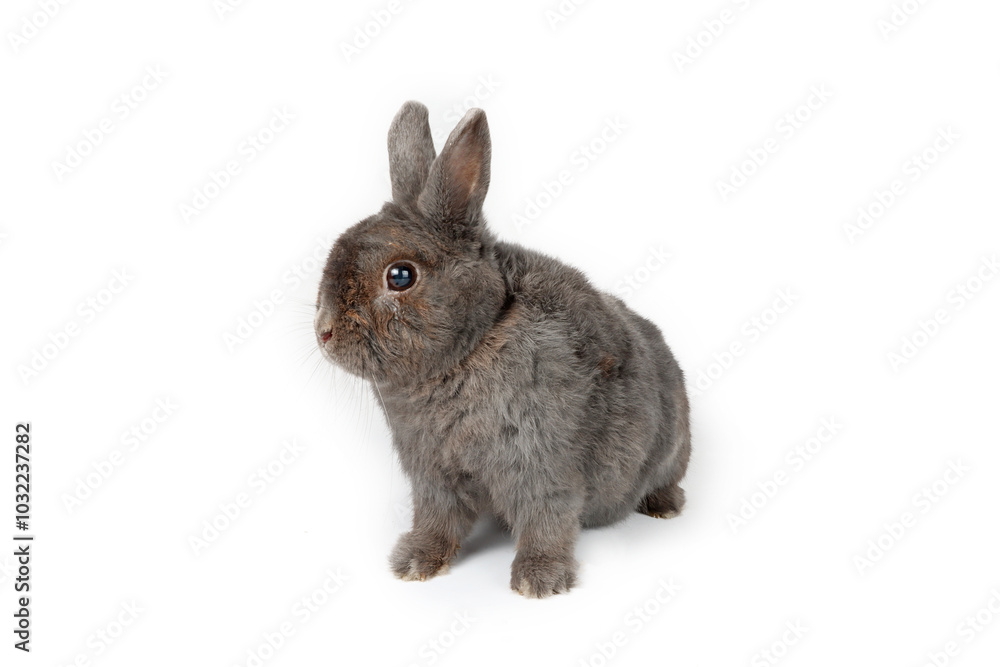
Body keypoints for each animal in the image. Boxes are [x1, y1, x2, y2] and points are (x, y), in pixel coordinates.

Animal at [314, 101, 690, 598]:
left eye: (400, 275)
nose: (323, 332)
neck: (474, 342)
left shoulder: (542, 462)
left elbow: (546, 517)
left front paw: (538, 580)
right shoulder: (434, 476)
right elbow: (437, 519)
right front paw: (415, 563)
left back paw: (665, 507)